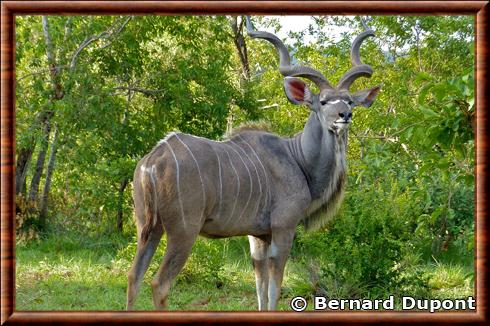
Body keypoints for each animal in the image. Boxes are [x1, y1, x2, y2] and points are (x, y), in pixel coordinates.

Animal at [126, 17, 378, 310]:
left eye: (349, 101)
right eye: (323, 101)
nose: (344, 115)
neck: (298, 159)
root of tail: (153, 160)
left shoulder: (258, 236)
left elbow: (261, 288)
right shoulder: (283, 229)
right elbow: (275, 288)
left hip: (148, 227)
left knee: (134, 276)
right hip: (183, 231)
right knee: (160, 283)